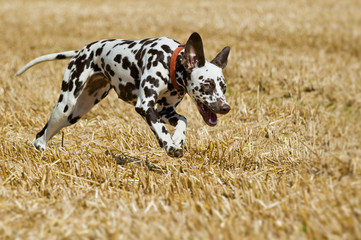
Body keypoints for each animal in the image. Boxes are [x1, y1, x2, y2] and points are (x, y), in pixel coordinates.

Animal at [14, 32, 231, 158]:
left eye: (224, 87)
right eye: (208, 85)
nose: (225, 108)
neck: (169, 59)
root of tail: (81, 52)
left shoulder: (166, 111)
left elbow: (183, 120)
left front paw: (178, 139)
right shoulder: (145, 106)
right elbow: (160, 129)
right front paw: (169, 146)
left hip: (76, 113)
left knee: (42, 132)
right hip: (65, 106)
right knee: (42, 135)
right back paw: (41, 150)